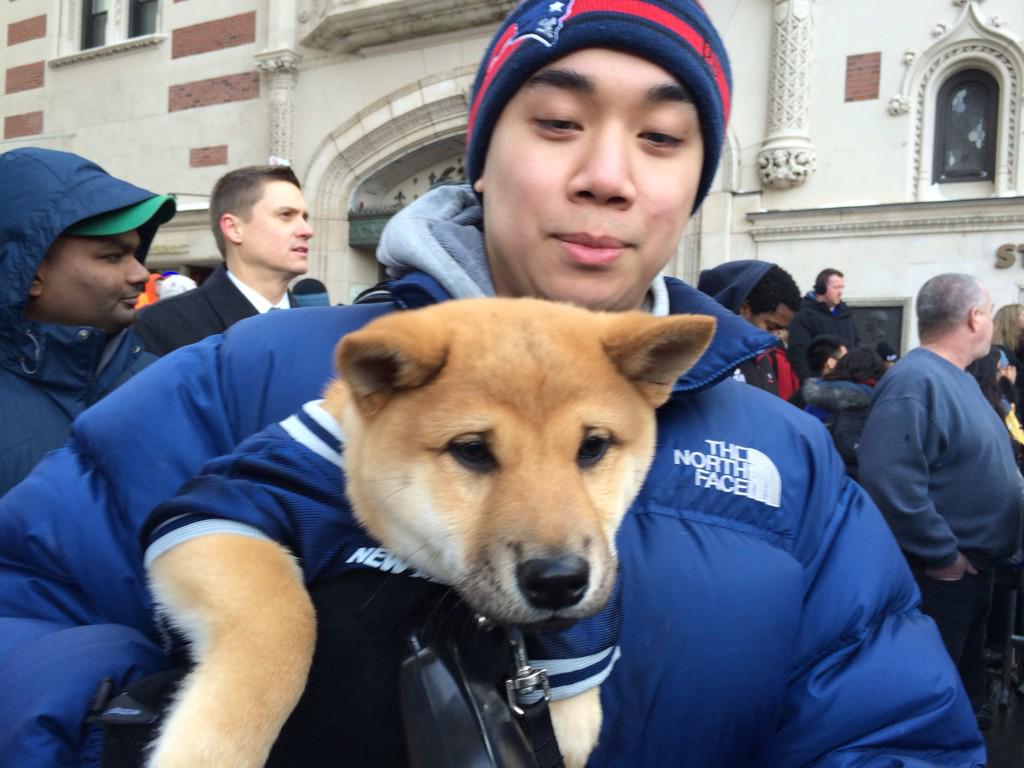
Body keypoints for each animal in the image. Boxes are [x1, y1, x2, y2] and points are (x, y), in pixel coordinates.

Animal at [146, 299, 712, 768]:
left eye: (592, 446)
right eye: (472, 450)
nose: (558, 580)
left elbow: (575, 686)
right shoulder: (221, 505)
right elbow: (282, 624)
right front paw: (210, 750)